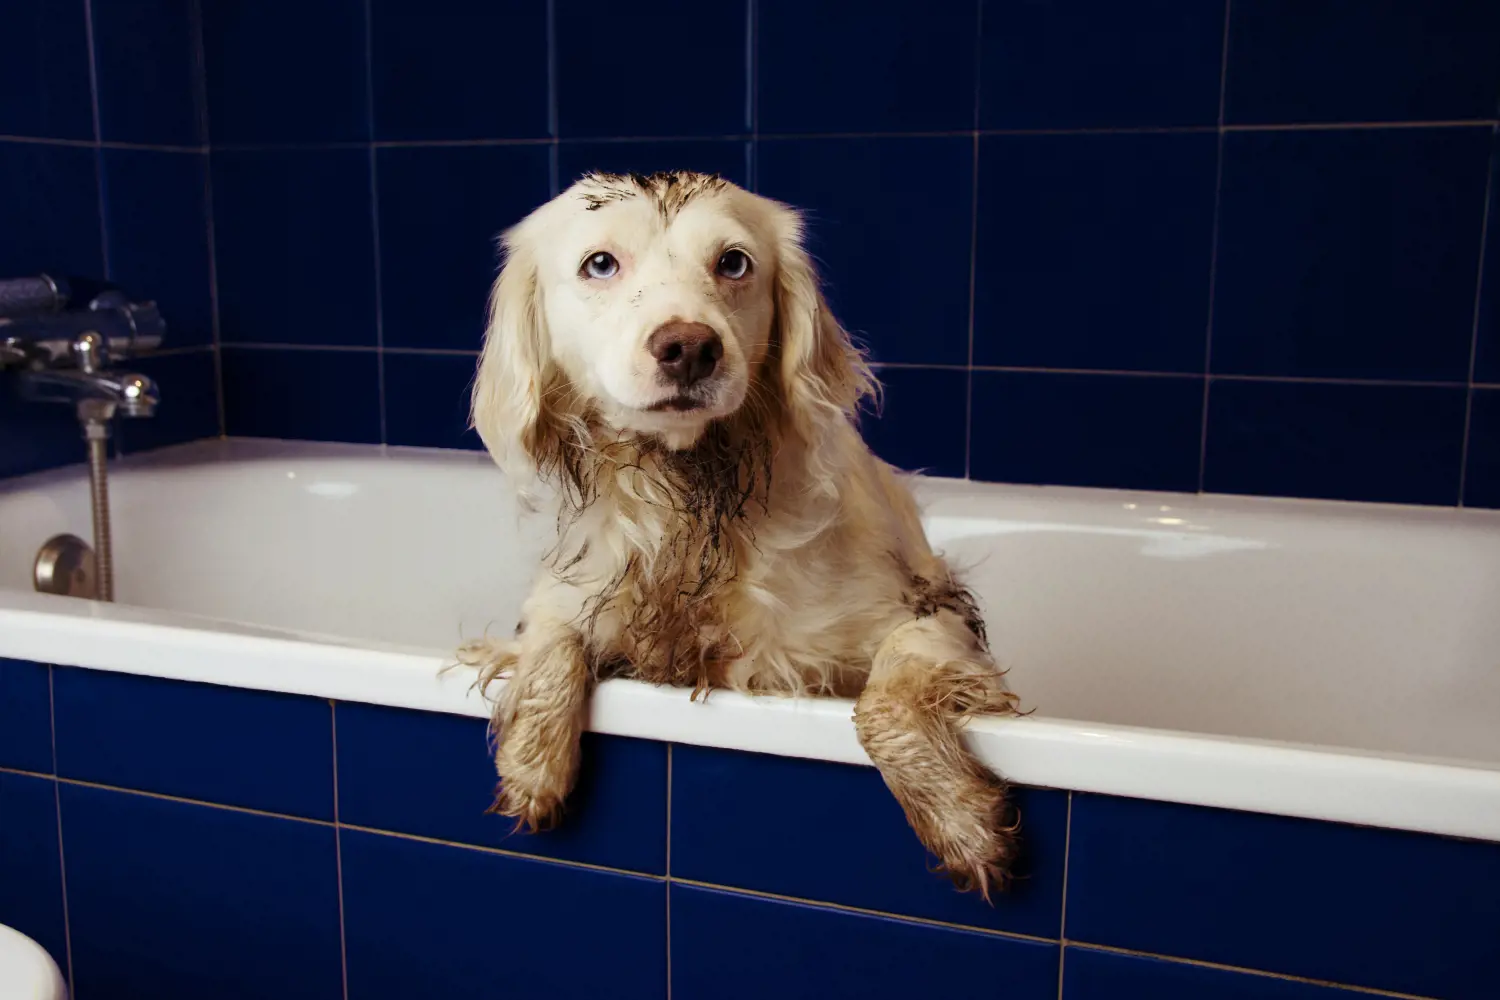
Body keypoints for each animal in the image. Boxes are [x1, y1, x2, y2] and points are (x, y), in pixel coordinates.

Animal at [462, 172, 1026, 899]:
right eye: (600, 264)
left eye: (733, 263)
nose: (689, 347)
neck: (690, 500)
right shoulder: (568, 593)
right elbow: (551, 649)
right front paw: (533, 767)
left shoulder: (931, 614)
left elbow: (884, 703)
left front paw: (961, 821)